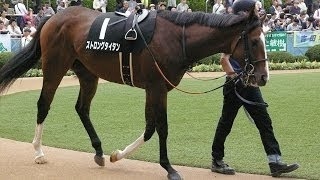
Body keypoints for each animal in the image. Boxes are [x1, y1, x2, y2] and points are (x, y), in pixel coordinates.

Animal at [0, 5, 268, 180]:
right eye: (255, 41)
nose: (263, 77)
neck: (176, 39)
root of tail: (54, 17)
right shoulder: (157, 87)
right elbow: (161, 127)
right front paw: (170, 168)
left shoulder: (158, 89)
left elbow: (150, 127)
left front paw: (117, 155)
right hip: (55, 66)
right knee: (44, 103)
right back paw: (38, 151)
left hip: (88, 73)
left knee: (82, 108)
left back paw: (99, 151)